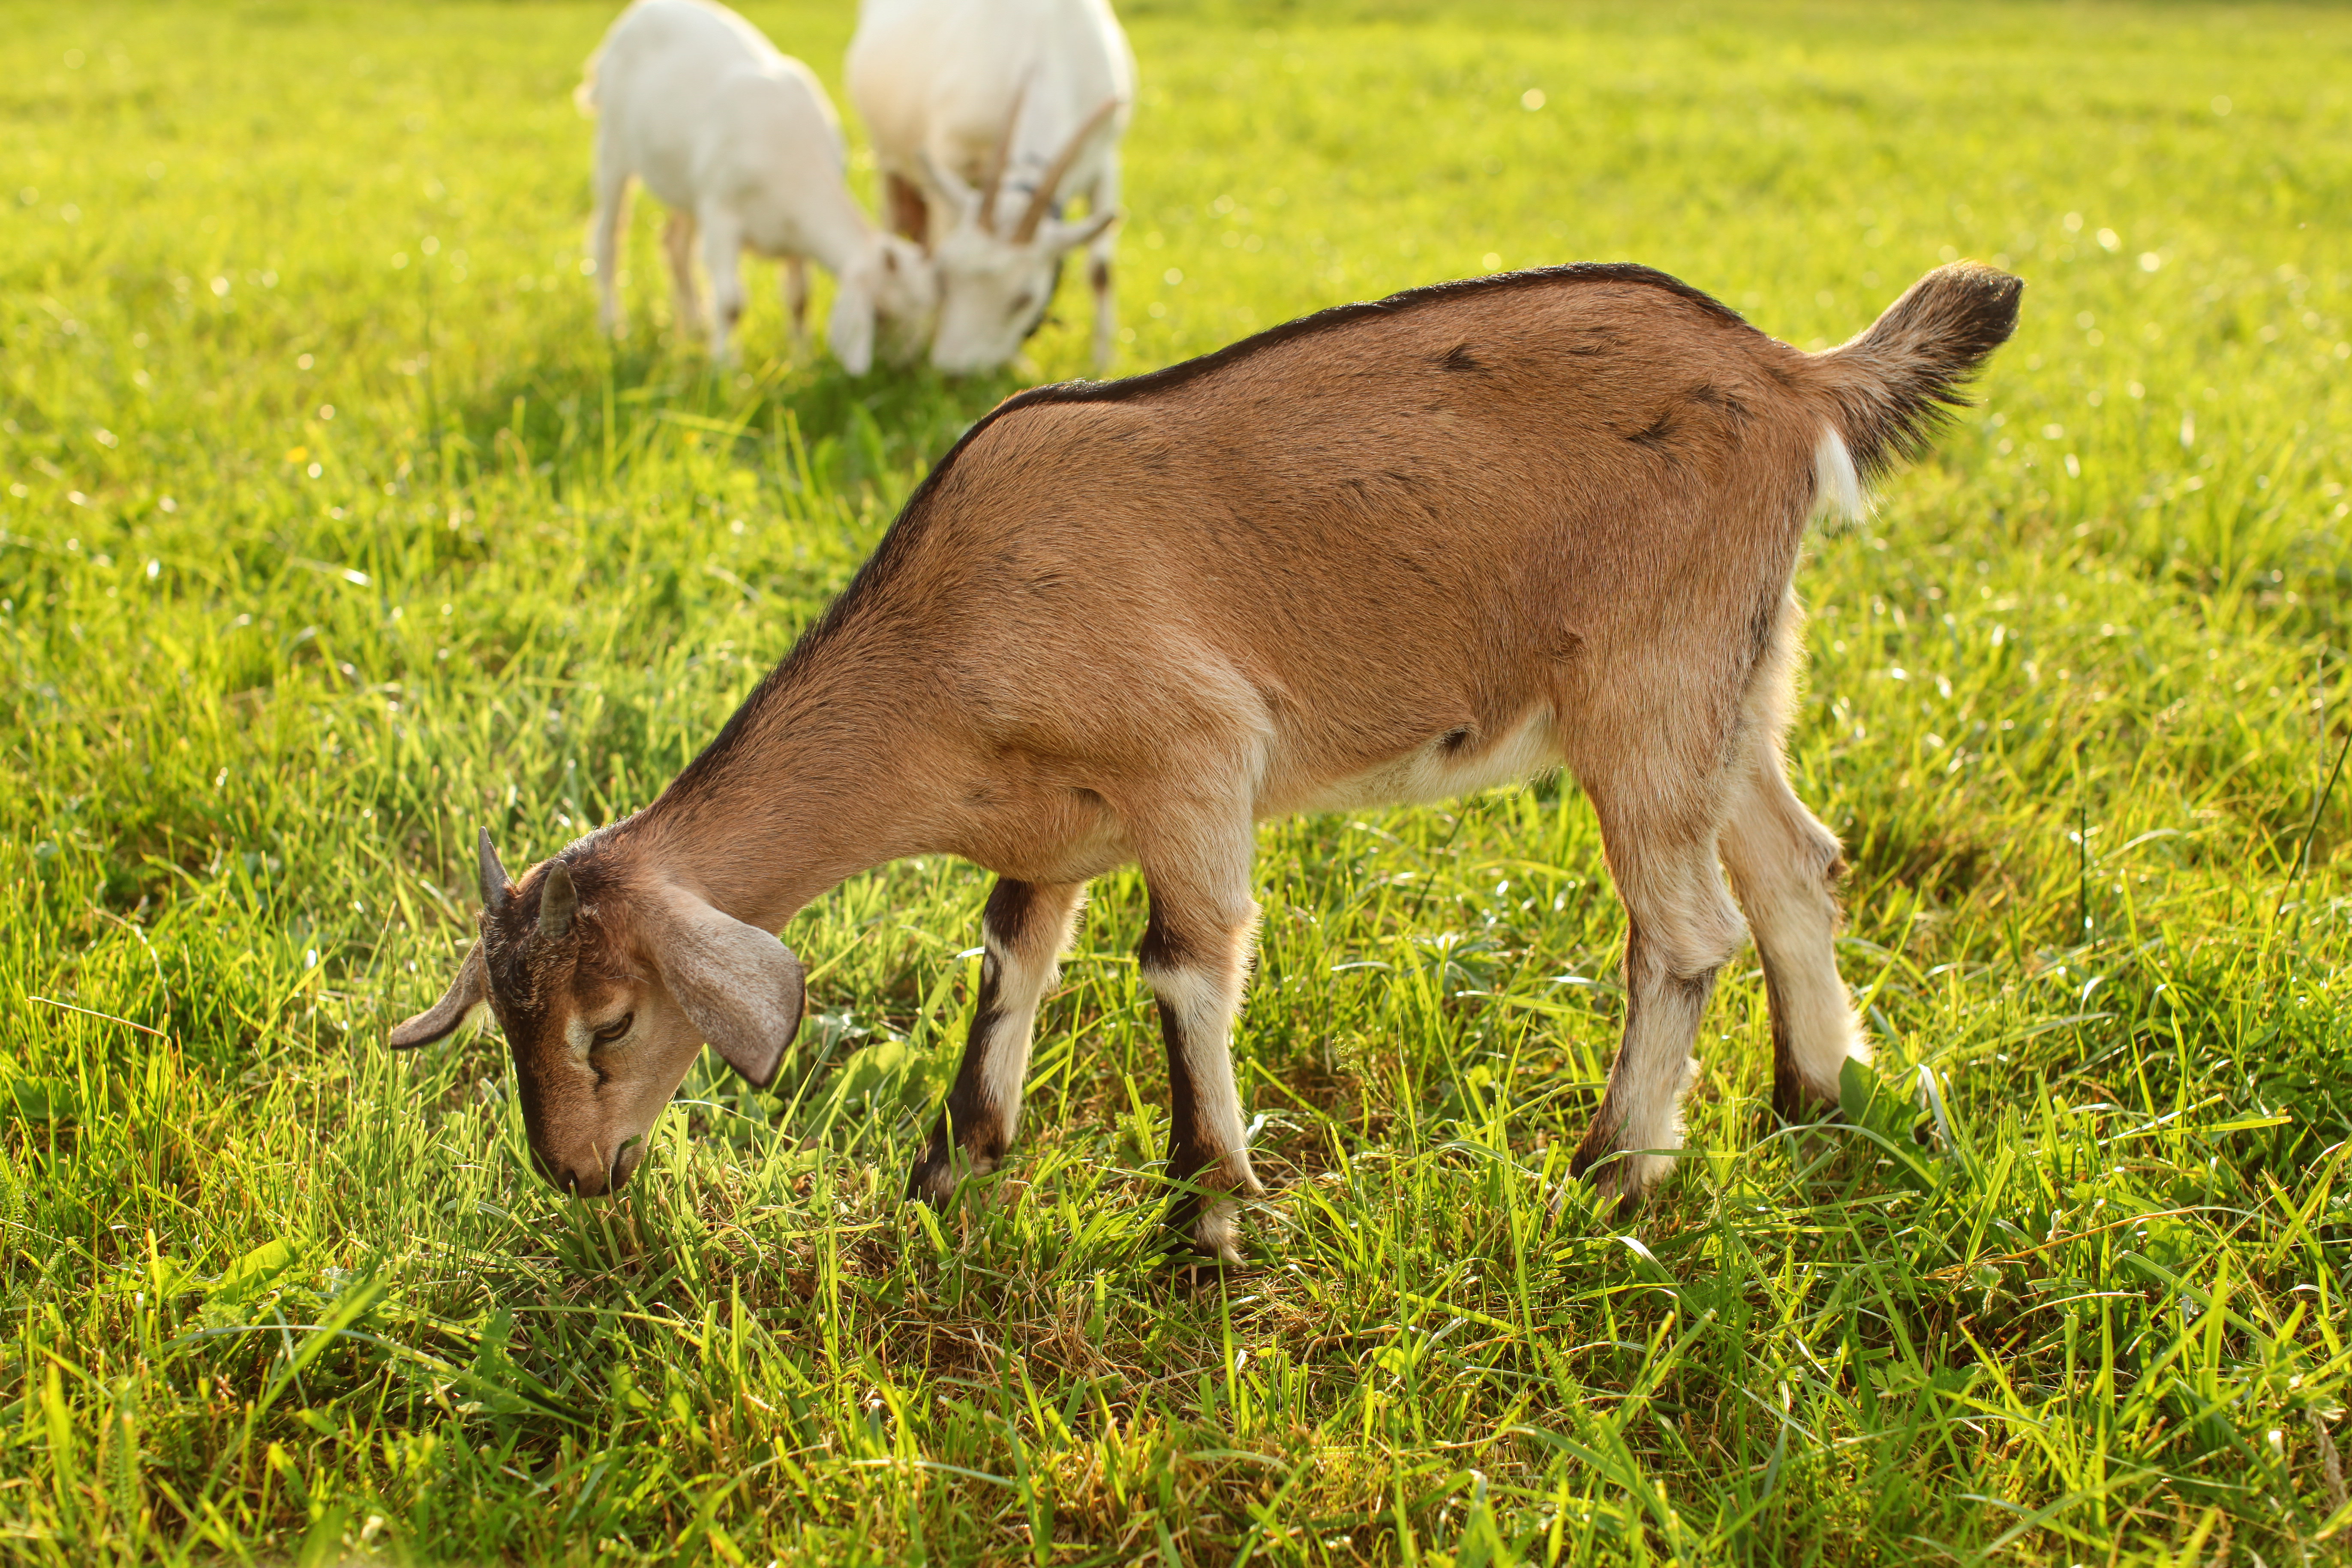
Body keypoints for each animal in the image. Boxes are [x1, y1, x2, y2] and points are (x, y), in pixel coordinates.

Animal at [391, 261, 2021, 1262]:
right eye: (509, 1022)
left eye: (608, 1019)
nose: (573, 1169)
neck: (952, 626)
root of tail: (1796, 374)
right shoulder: (1050, 826)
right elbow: (1009, 957)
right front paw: (952, 1166)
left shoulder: (1193, 763)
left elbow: (1181, 966)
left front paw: (1213, 1215)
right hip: (1734, 674)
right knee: (1794, 863)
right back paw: (1812, 1096)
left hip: (1641, 679)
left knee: (1683, 929)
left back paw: (1611, 1172)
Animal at [581, 0, 937, 372]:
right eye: (879, 314)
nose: (904, 369)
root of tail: (640, 11)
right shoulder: (721, 213)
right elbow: (731, 303)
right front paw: (726, 369)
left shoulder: (794, 235)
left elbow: (799, 298)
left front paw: (800, 358)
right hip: (612, 144)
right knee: (607, 237)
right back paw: (613, 328)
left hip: (685, 183)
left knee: (675, 244)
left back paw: (694, 328)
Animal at [845, 0, 1134, 374]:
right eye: (944, 278)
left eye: (1024, 299)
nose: (955, 373)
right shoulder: (950, 158)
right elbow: (935, 244)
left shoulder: (1104, 161)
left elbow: (1101, 271)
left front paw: (1102, 364)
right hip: (885, 155)